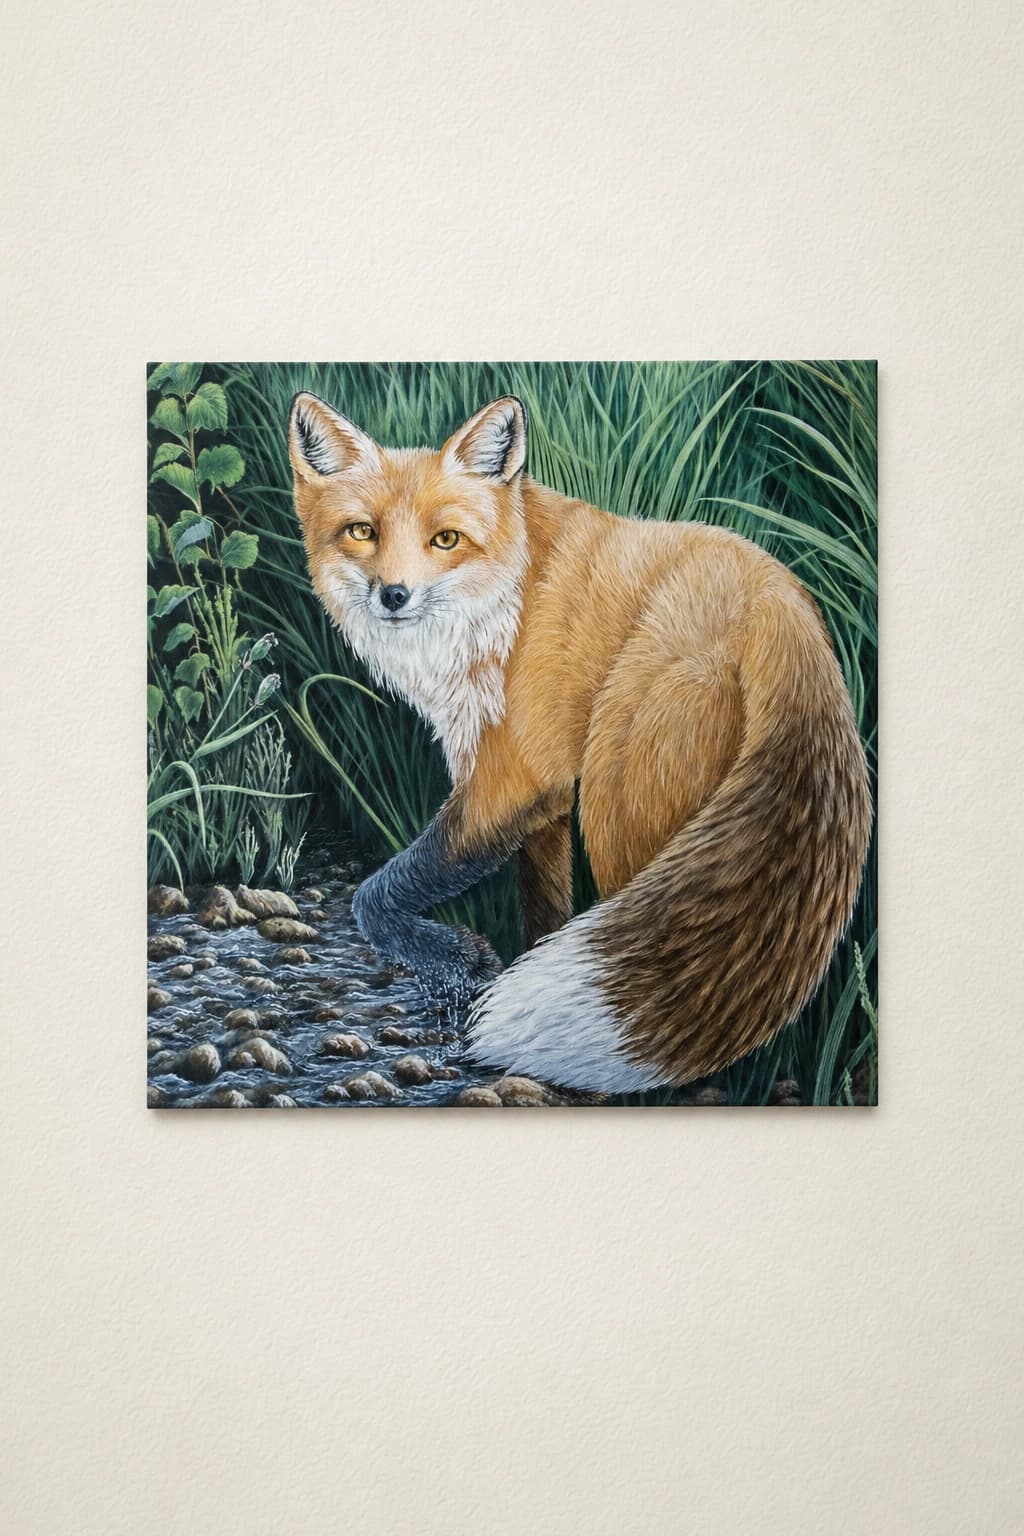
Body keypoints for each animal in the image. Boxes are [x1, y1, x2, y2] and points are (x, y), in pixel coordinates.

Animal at [288, 390, 872, 1093]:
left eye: (445, 539)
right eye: (362, 532)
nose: (394, 595)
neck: (504, 607)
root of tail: (785, 611)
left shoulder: (510, 782)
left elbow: (375, 895)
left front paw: (462, 964)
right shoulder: (542, 803)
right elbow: (545, 915)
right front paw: (495, 981)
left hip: (621, 807)